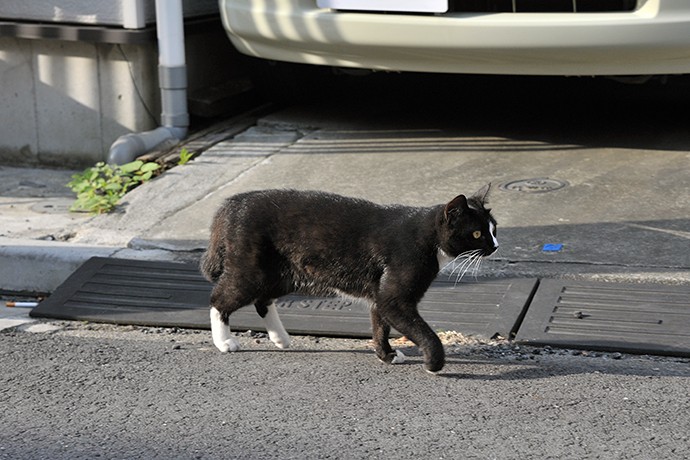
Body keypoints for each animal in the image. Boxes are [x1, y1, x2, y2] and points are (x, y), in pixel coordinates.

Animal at [199, 185, 494, 372]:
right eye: (477, 234)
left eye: (494, 229)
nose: (496, 246)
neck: (428, 236)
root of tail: (233, 203)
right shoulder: (394, 298)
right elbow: (421, 330)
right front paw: (434, 362)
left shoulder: (380, 294)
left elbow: (380, 325)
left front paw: (386, 355)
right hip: (251, 269)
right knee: (219, 299)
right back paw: (224, 342)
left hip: (282, 273)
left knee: (263, 301)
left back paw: (281, 338)